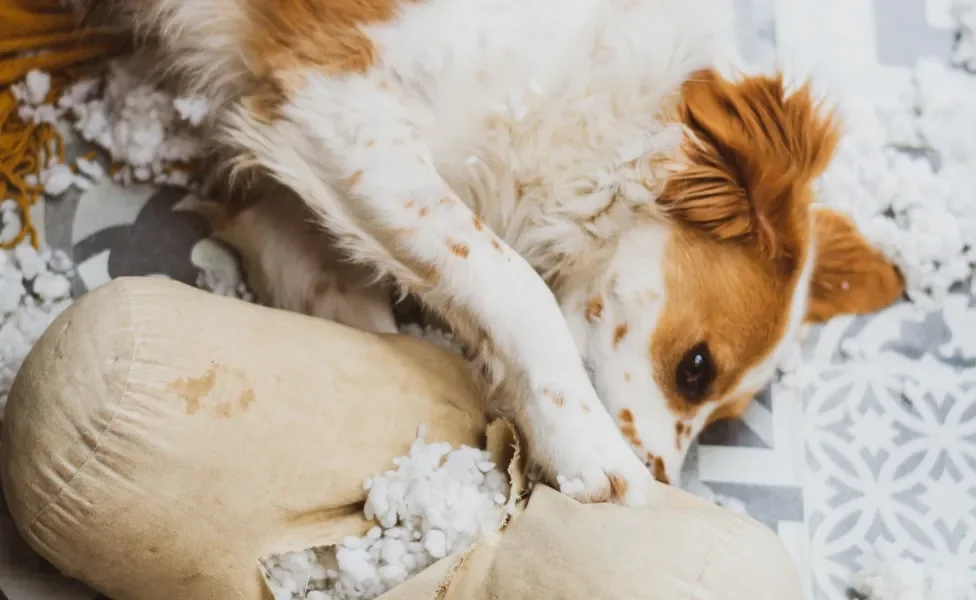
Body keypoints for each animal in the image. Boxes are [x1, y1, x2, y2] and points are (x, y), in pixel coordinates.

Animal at [103, 0, 904, 504]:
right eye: (696, 368)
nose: (665, 484)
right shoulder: (339, 109)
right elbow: (512, 284)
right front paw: (583, 446)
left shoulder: (278, 171)